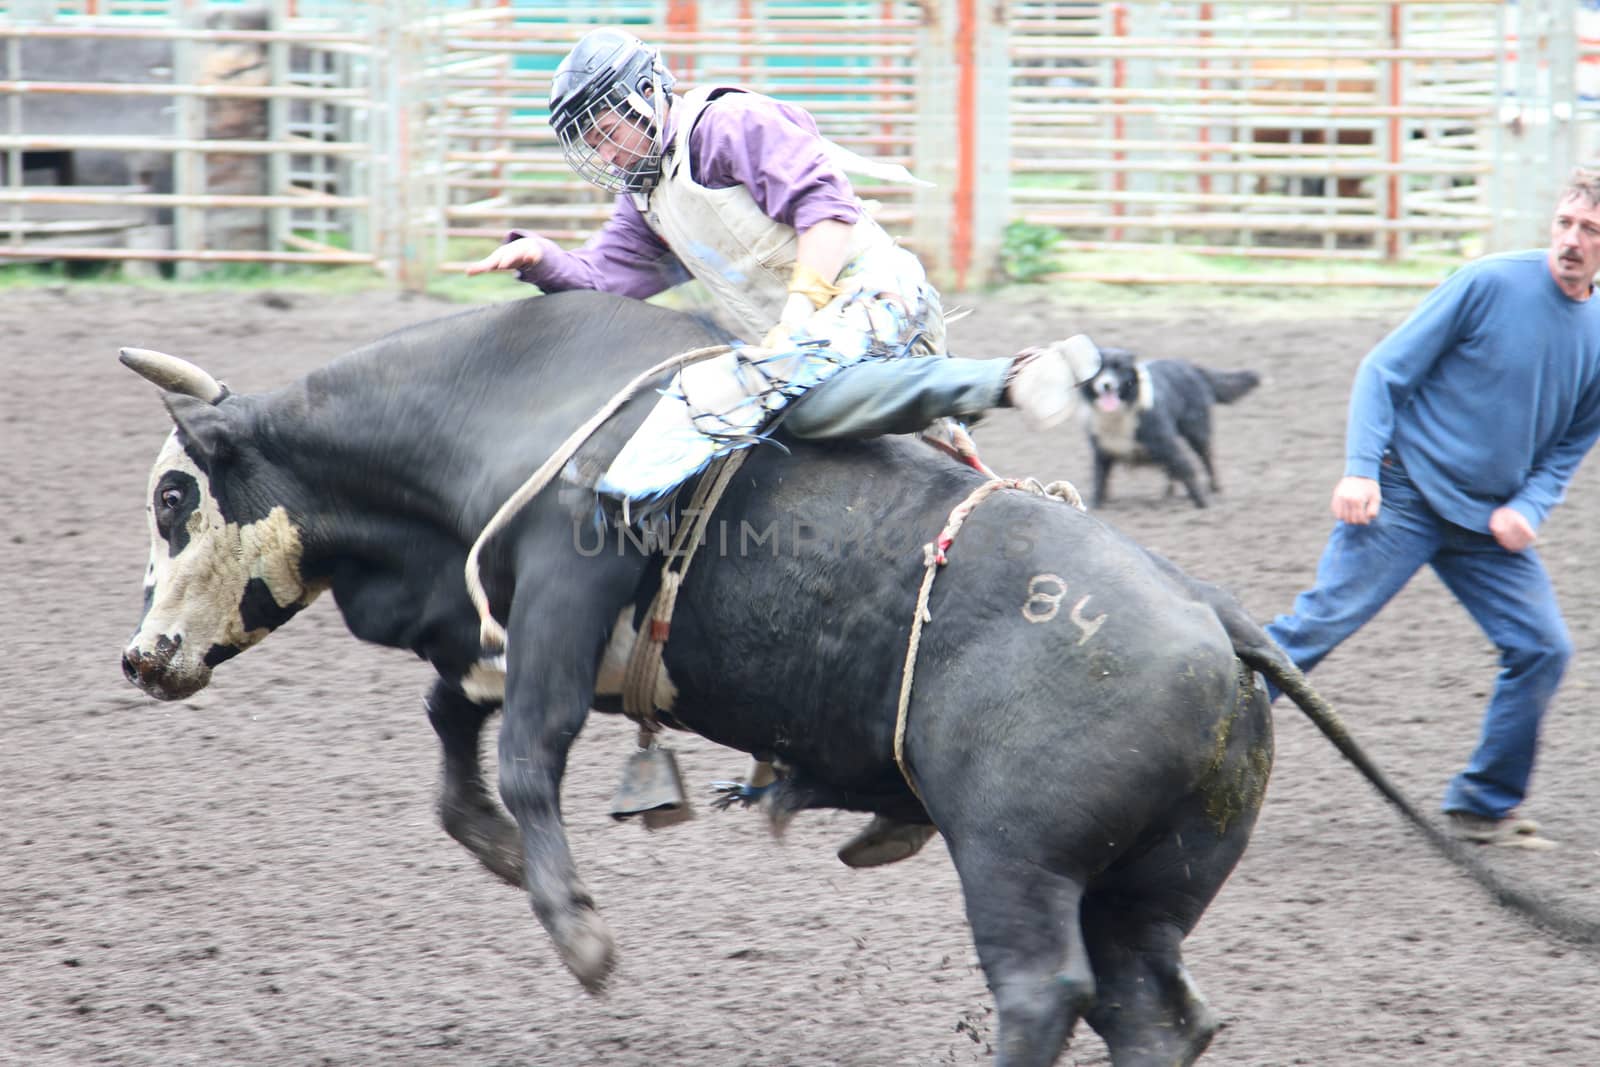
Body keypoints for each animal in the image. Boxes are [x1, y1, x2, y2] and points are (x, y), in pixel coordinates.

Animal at [1081, 343, 1254, 508]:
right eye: (1097, 369)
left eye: (1119, 367)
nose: (1106, 385)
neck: (1122, 411)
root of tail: (1193, 368)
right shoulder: (1102, 450)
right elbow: (1099, 480)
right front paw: (1095, 506)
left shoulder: (1165, 443)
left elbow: (1186, 470)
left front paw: (1202, 504)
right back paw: (1169, 493)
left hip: (1197, 432)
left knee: (1207, 459)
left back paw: (1214, 488)